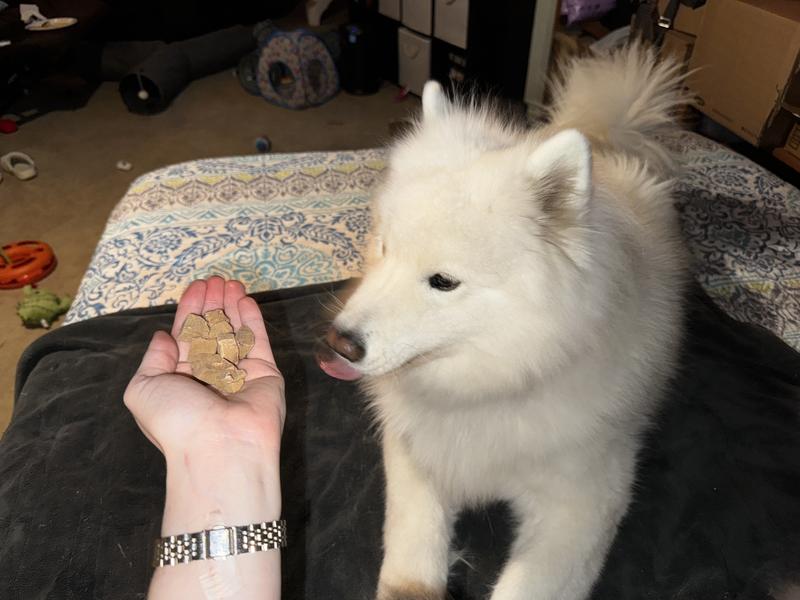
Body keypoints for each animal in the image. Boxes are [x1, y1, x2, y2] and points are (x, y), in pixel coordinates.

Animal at [318, 44, 688, 600]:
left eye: (443, 281)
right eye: (383, 248)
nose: (338, 344)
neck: (491, 385)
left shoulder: (582, 503)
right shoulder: (414, 454)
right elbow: (411, 552)